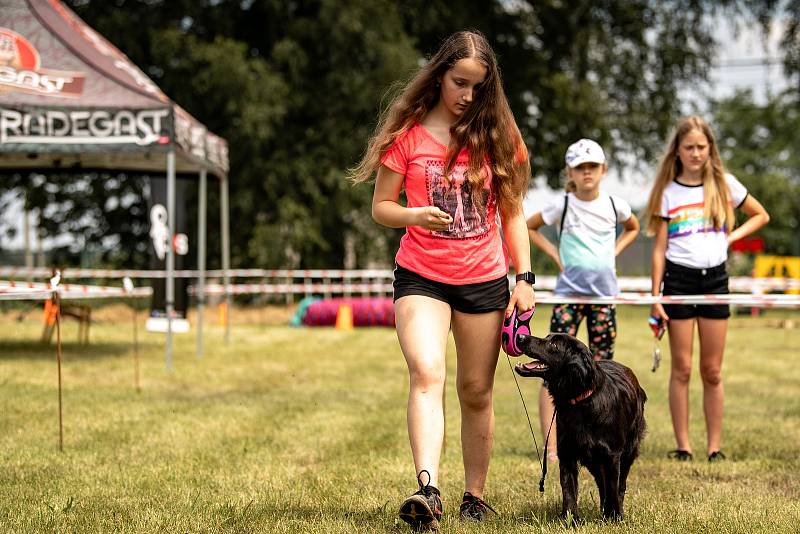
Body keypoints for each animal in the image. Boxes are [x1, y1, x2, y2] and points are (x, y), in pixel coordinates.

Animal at [516, 332, 648, 520]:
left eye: (554, 345)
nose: (520, 336)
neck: (581, 402)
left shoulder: (612, 455)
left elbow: (613, 487)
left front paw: (614, 516)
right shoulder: (567, 453)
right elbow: (569, 489)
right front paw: (570, 519)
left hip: (628, 450)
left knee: (620, 484)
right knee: (601, 483)